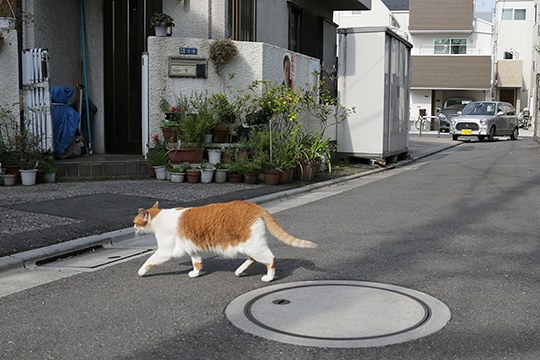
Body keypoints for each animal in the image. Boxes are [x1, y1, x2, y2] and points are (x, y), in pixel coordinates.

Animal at [133, 200, 316, 282]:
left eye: (135, 222)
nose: (133, 227)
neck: (157, 219)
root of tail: (254, 205)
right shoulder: (193, 248)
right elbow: (196, 262)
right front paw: (196, 273)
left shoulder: (165, 251)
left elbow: (149, 261)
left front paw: (141, 271)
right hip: (249, 245)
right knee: (253, 258)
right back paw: (239, 271)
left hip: (252, 244)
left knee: (271, 259)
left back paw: (268, 277)